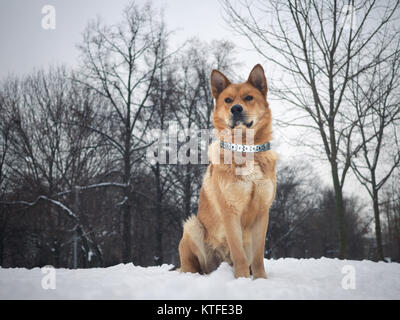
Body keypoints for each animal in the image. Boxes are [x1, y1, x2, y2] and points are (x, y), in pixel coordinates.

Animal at [177, 64, 276, 278]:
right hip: (193, 226)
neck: (245, 148)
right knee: (195, 267)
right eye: (228, 100)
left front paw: (260, 279)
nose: (236, 109)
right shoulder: (230, 211)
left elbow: (258, 256)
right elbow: (238, 252)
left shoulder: (262, 212)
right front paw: (242, 279)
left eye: (249, 97)